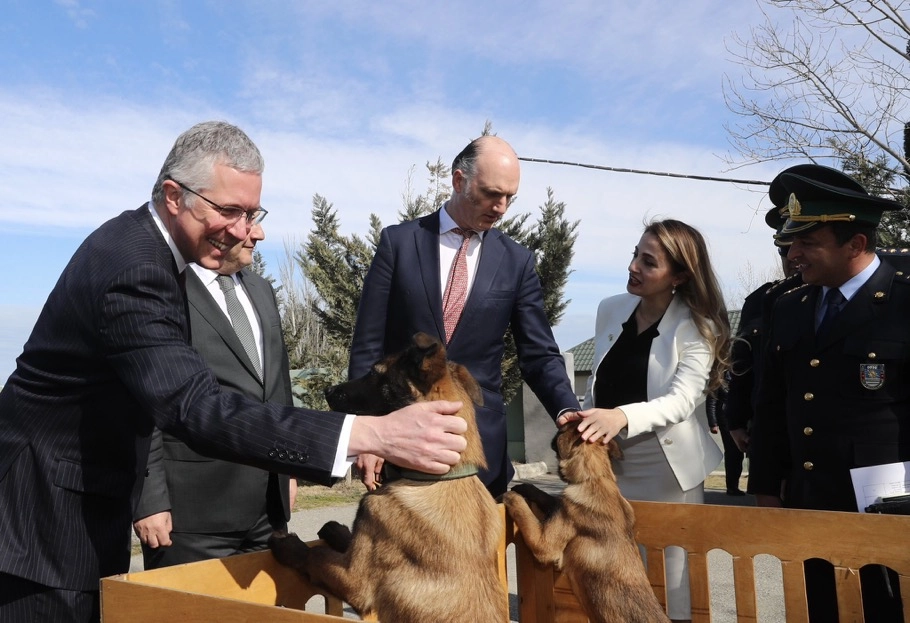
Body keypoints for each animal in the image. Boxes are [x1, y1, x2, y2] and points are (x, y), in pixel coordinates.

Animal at [268, 336, 510, 623]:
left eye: (374, 373)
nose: (328, 390)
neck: (436, 477)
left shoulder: (356, 581)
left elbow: (315, 556)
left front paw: (289, 545)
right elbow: (346, 544)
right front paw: (338, 531)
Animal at [502, 422, 668, 620]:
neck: (596, 478)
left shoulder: (545, 545)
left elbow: (523, 511)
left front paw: (509, 495)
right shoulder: (559, 506)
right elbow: (549, 497)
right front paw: (526, 487)